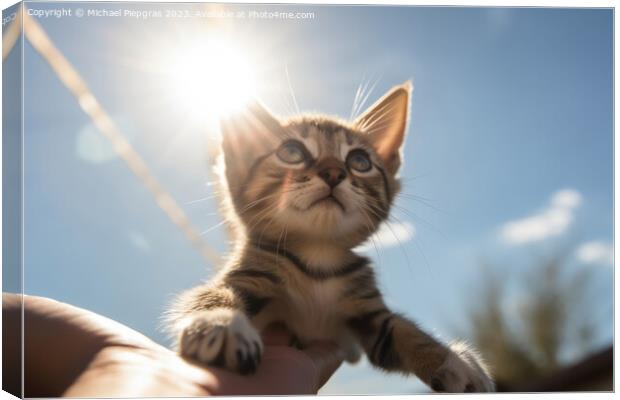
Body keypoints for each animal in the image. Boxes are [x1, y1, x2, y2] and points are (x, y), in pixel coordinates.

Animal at [165, 83, 494, 392]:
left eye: (360, 161)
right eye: (292, 152)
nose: (334, 172)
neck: (318, 258)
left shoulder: (368, 310)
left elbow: (401, 328)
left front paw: (455, 361)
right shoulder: (246, 275)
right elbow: (210, 295)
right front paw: (219, 323)